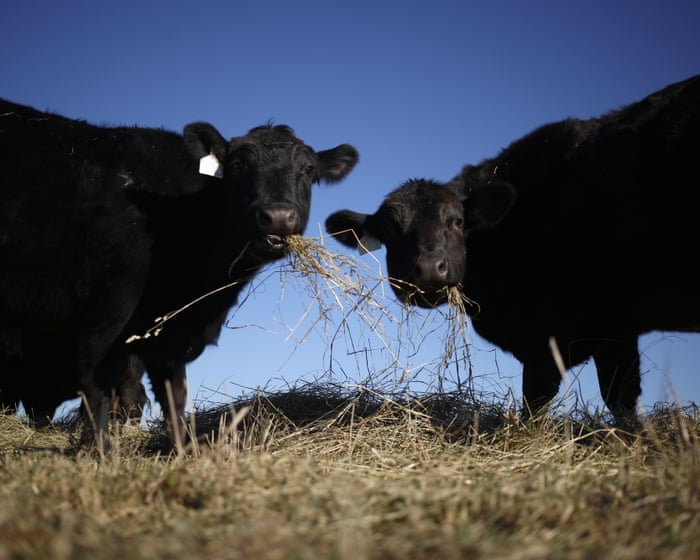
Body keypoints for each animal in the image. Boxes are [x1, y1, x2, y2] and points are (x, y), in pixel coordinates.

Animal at [1, 99, 358, 449]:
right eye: (238, 166)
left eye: (308, 171)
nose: (279, 216)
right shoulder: (106, 316)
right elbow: (100, 392)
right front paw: (96, 453)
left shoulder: (167, 335)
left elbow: (174, 396)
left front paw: (185, 452)